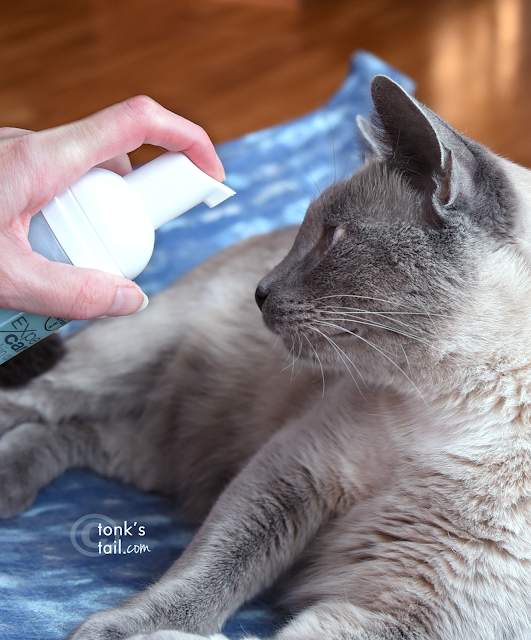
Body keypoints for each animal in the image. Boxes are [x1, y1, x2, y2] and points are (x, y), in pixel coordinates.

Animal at [1, 76, 531, 640]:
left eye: (333, 237)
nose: (260, 291)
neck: (457, 412)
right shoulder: (293, 470)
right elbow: (209, 576)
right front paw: (124, 629)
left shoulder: (410, 616)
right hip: (113, 370)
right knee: (36, 408)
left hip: (151, 451)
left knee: (76, 432)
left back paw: (10, 485)